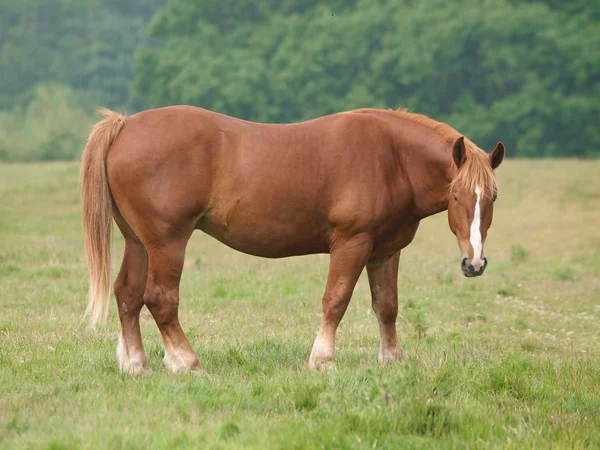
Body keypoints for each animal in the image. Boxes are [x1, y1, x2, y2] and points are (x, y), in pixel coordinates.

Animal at [78, 105, 502, 372]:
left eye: (493, 196)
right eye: (456, 196)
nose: (475, 263)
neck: (392, 158)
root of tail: (124, 125)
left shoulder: (385, 252)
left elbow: (387, 306)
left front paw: (392, 359)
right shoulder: (352, 244)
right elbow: (336, 300)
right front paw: (322, 360)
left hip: (139, 242)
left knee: (128, 294)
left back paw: (136, 363)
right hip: (167, 243)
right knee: (160, 299)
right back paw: (186, 362)